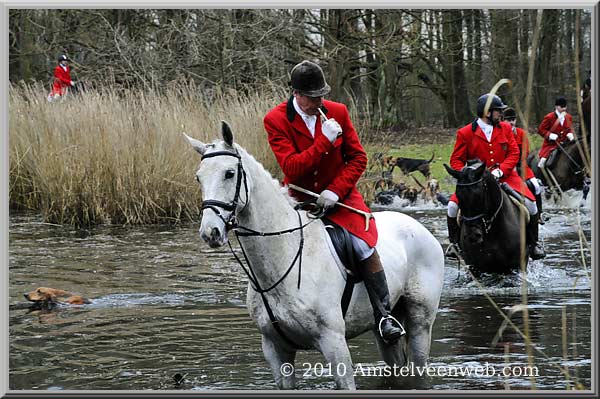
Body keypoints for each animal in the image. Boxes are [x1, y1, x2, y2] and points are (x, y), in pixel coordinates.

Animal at [186, 122, 446, 390]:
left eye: (229, 173)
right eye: (199, 177)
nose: (210, 232)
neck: (281, 259)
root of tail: (417, 226)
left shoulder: (333, 342)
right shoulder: (274, 349)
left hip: (420, 323)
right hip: (383, 332)